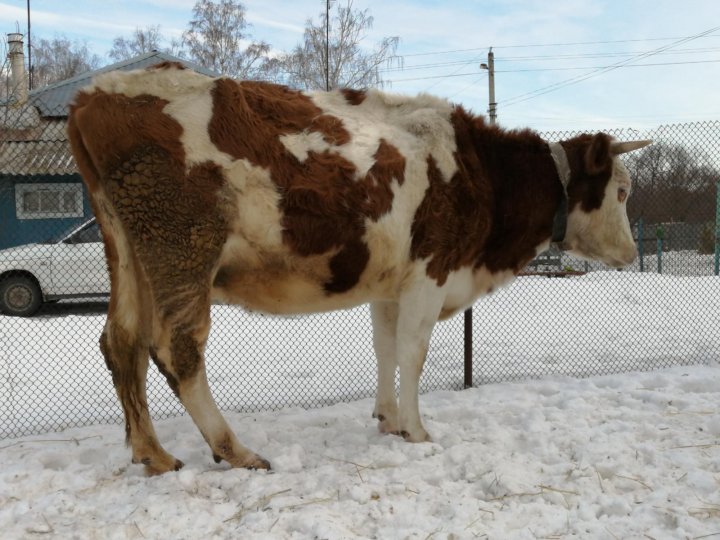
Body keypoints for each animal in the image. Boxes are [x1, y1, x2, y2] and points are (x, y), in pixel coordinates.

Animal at [69, 63, 652, 474]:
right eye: (622, 191)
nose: (630, 253)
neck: (480, 170)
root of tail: (94, 94)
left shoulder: (389, 285)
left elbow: (386, 349)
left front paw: (388, 420)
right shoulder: (429, 272)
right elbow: (413, 353)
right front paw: (416, 431)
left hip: (130, 254)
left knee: (121, 341)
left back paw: (153, 454)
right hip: (183, 246)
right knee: (177, 347)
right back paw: (234, 450)